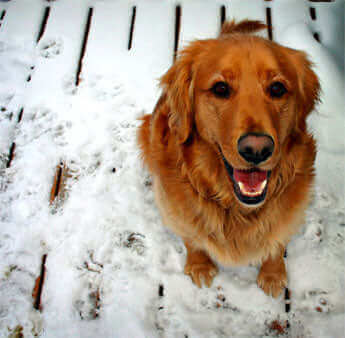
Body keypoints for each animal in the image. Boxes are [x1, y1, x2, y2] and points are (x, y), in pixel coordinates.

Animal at [136, 19, 318, 298]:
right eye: (220, 88)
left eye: (278, 88)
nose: (257, 149)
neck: (237, 208)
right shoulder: (175, 211)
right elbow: (192, 239)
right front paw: (199, 265)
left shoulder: (291, 214)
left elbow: (277, 242)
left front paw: (273, 274)